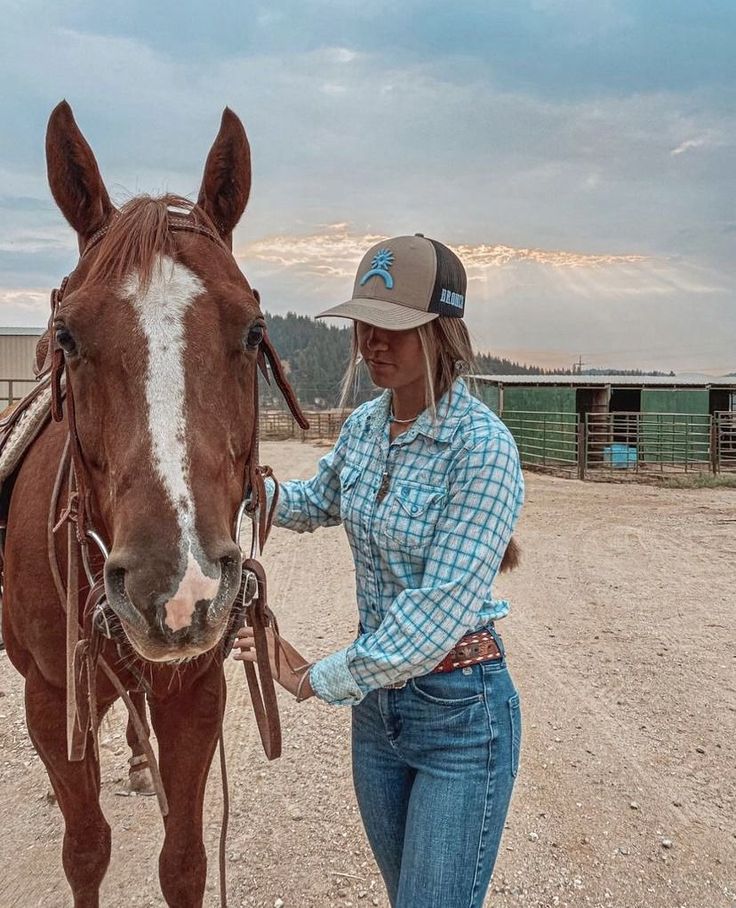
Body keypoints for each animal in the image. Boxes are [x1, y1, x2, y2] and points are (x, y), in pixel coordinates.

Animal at [2, 103, 278, 908]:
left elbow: (184, 862)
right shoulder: (50, 699)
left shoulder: (197, 692)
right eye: (67, 335)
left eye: (252, 331)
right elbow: (86, 849)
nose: (178, 589)